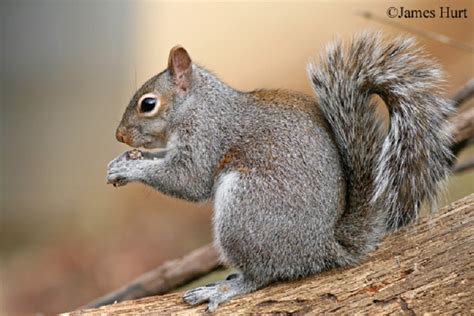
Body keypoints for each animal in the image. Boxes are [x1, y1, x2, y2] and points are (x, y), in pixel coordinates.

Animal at [106, 32, 452, 312]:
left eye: (148, 104)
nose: (119, 136)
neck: (198, 105)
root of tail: (322, 249)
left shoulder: (206, 137)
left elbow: (188, 181)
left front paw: (130, 167)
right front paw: (123, 160)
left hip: (245, 211)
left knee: (262, 275)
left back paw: (224, 288)